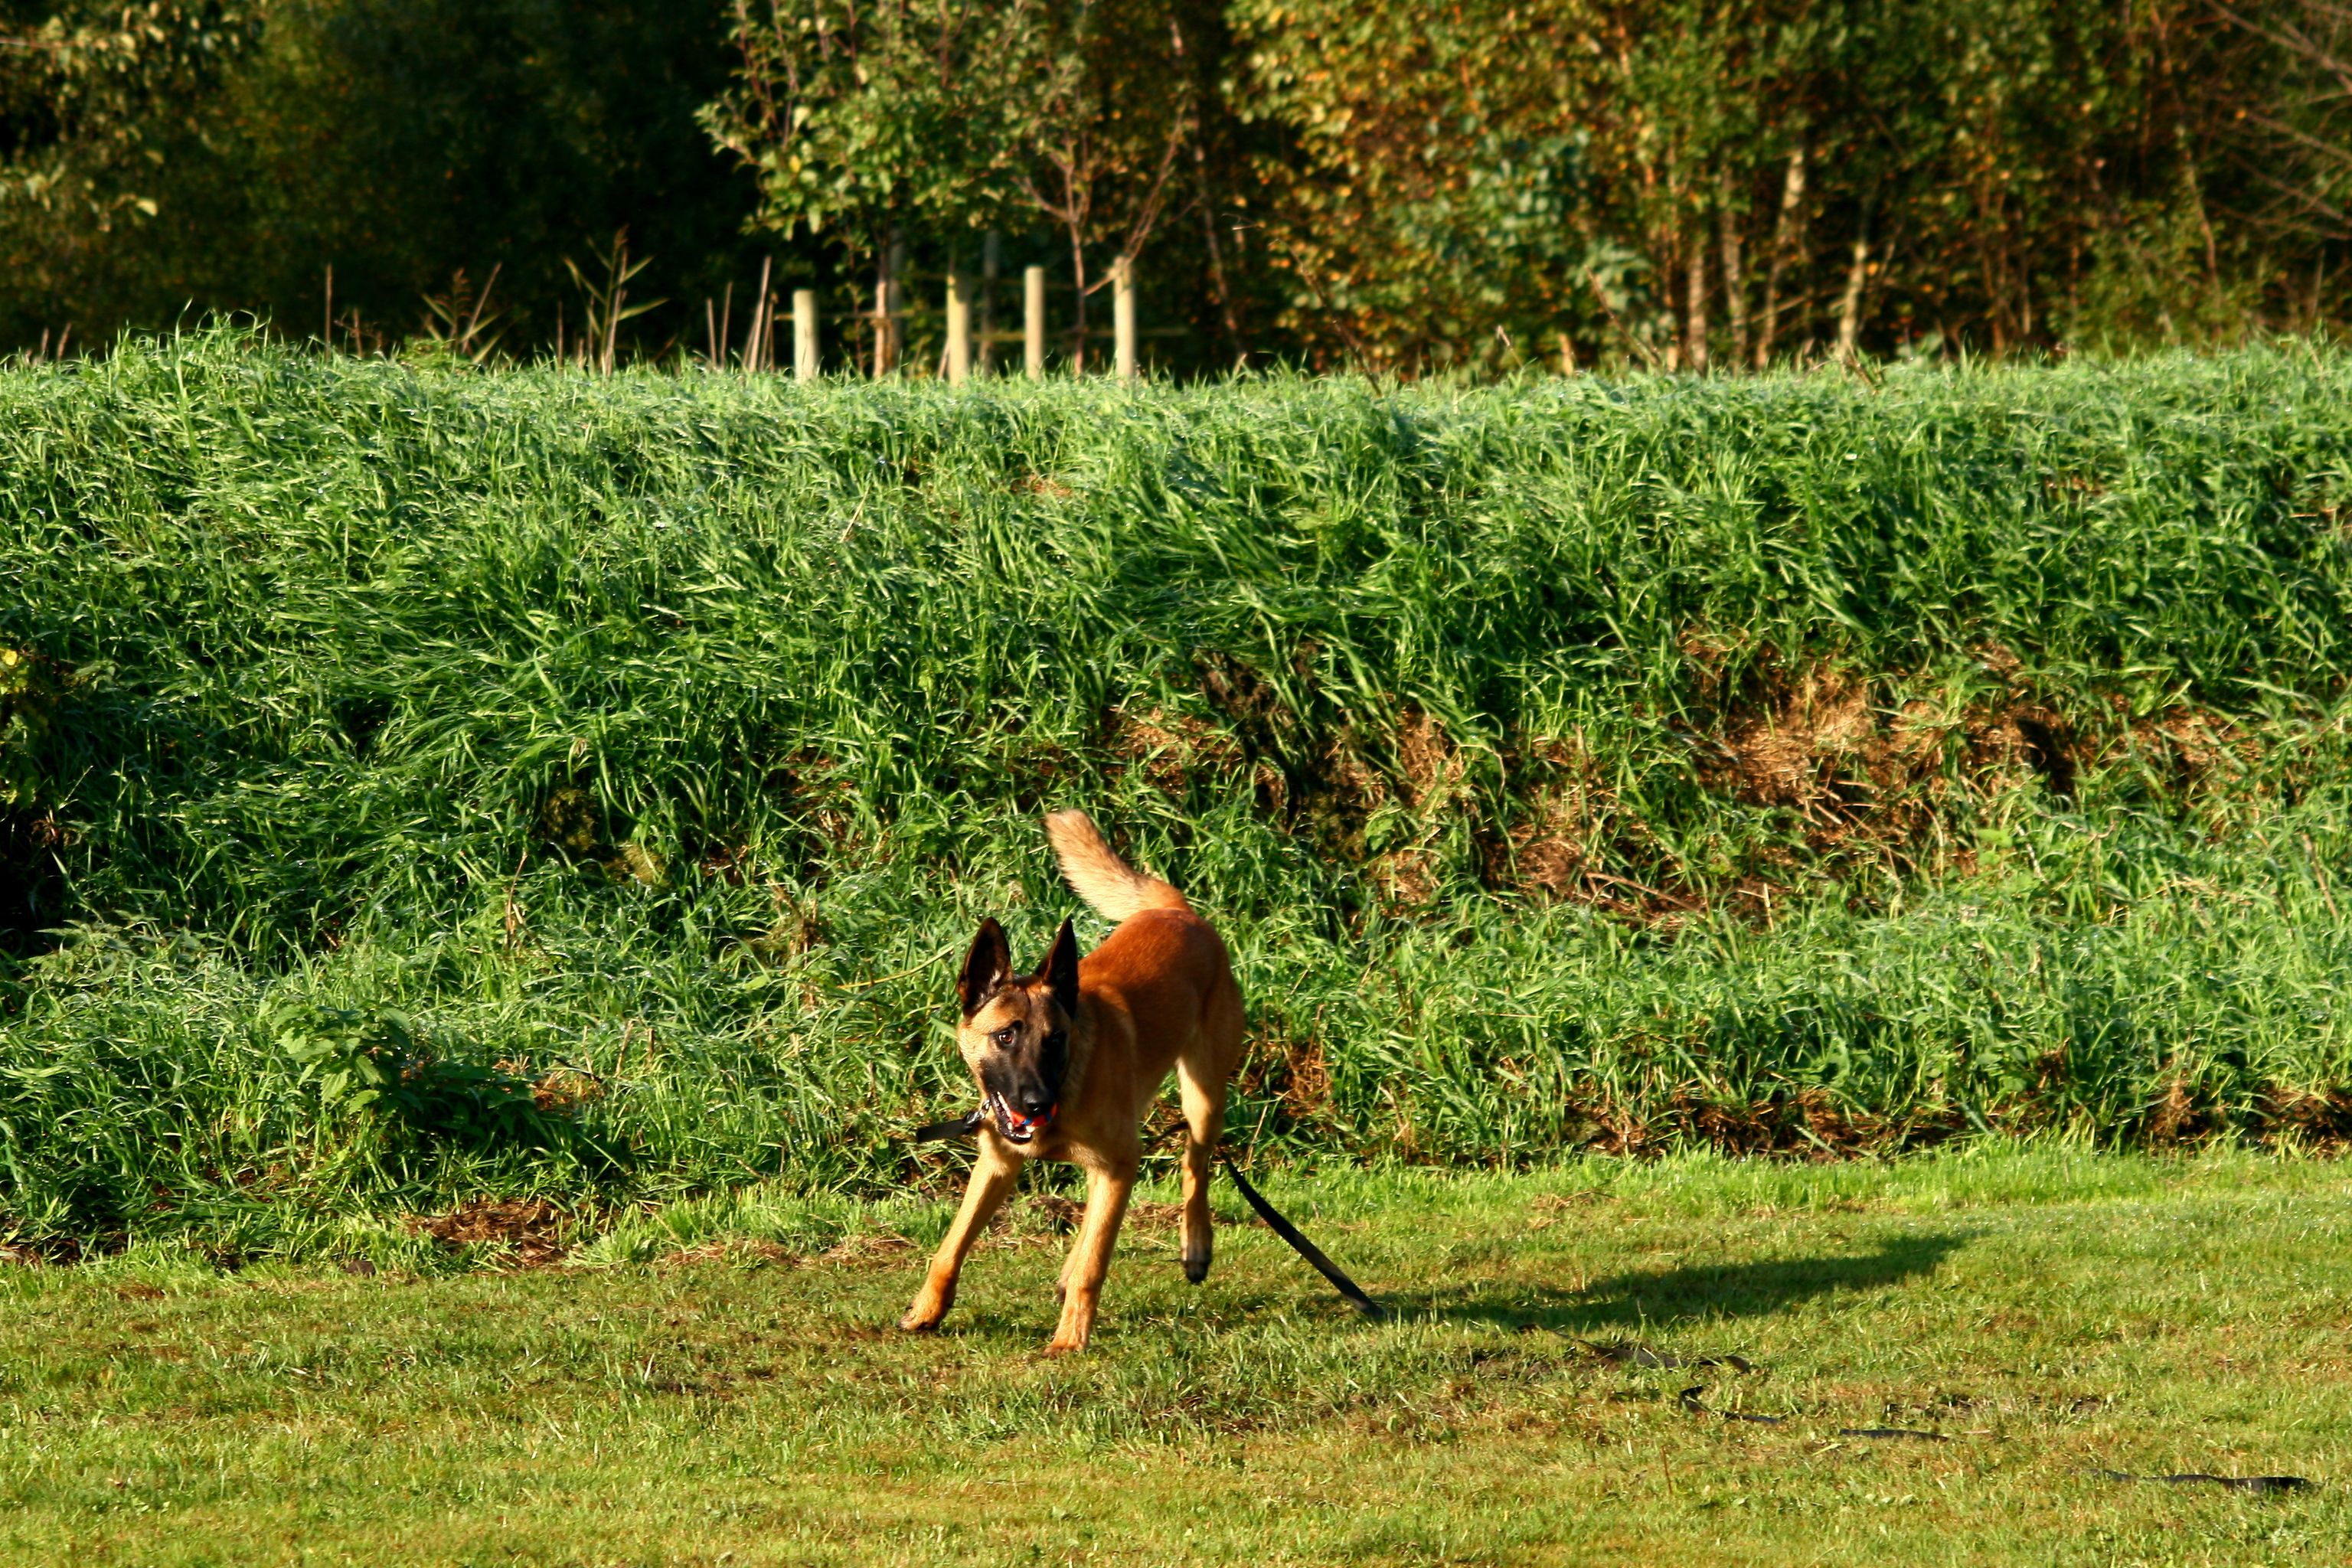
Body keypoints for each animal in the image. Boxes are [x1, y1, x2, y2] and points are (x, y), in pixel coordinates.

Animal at [898, 809, 1245, 1354]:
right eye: (1004, 1036)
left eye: (1055, 1040)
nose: (1036, 1103)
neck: (1067, 1085)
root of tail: (1178, 913)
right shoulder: (997, 1164)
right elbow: (951, 1245)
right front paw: (927, 1311)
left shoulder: (1121, 1162)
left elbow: (1094, 1265)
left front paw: (1070, 1338)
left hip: (1203, 1099)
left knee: (1196, 1164)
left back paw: (1195, 1245)